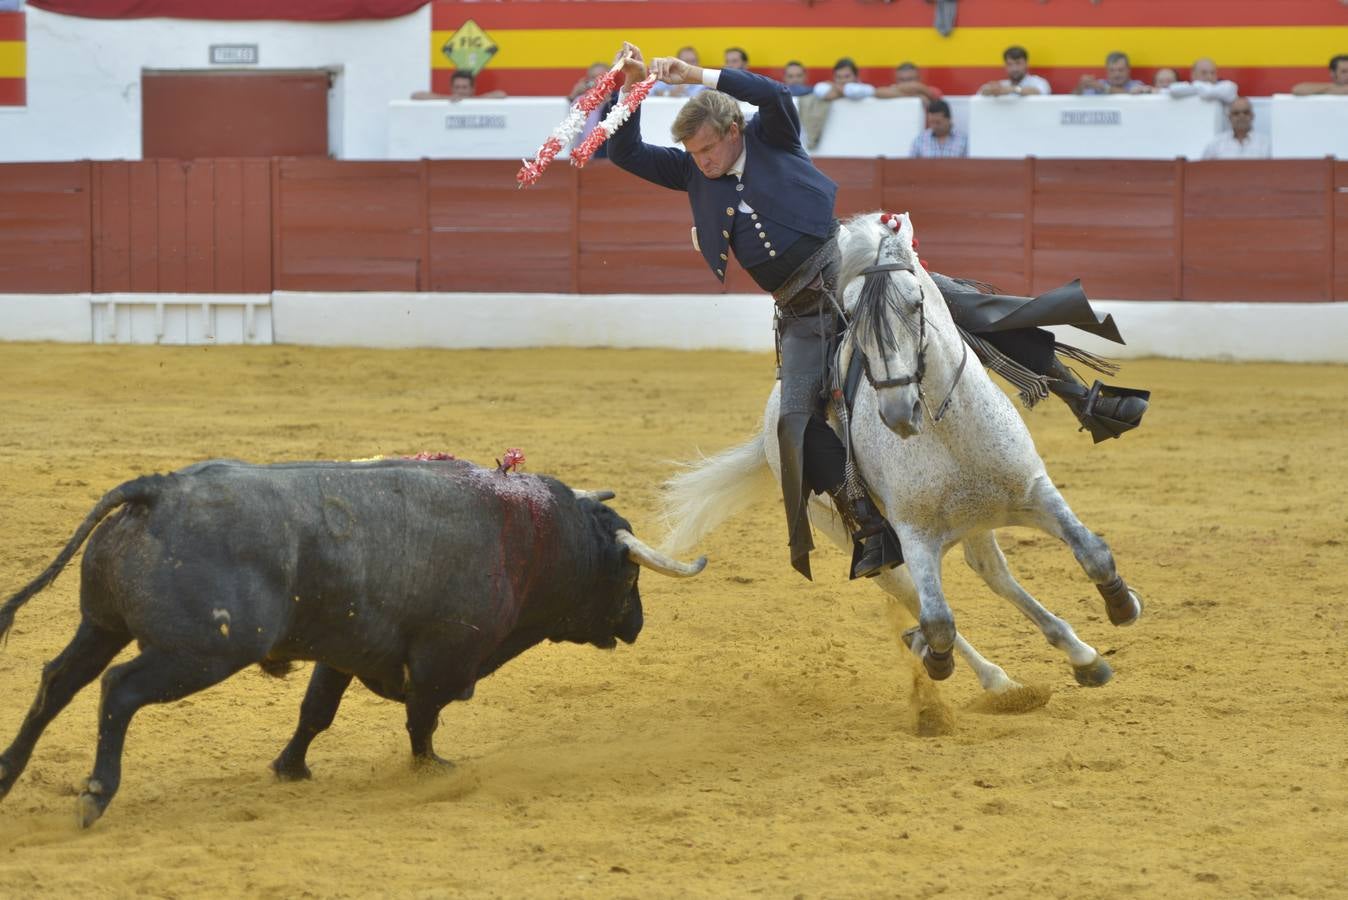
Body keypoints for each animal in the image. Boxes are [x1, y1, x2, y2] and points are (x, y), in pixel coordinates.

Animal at [0, 460, 700, 824]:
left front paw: (290, 768)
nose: (637, 624)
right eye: (629, 573)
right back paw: (96, 794)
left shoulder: (344, 650)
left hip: (102, 626)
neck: (528, 537)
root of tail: (158, 488)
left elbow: (317, 711)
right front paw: (431, 771)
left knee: (56, 682)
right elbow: (422, 719)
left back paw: (7, 775)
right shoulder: (443, 660)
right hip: (199, 653)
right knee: (118, 691)